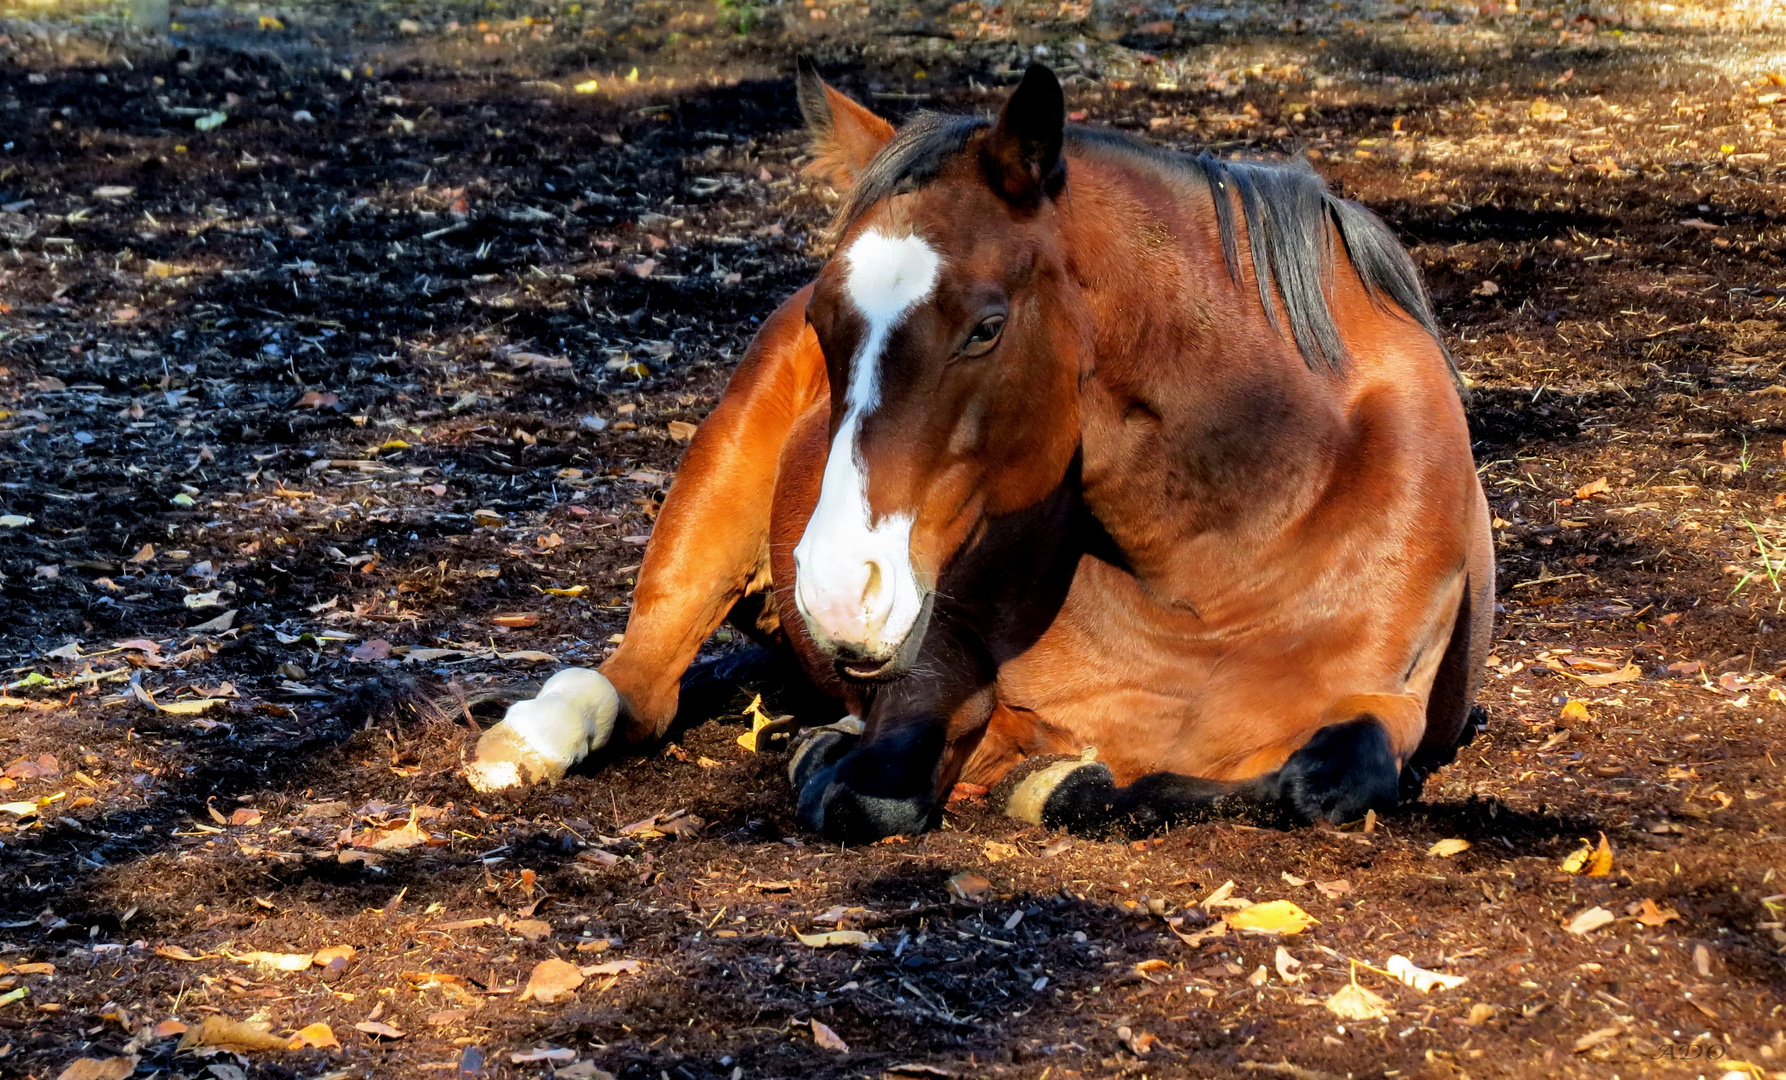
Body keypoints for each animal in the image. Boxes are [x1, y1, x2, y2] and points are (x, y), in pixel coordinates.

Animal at [460, 63, 1493, 846]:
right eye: (824, 325)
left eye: (987, 327)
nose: (837, 592)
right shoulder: (930, 658)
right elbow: (871, 787)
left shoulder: (1389, 705)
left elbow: (1326, 776)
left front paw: (1067, 780)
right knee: (640, 681)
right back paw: (538, 734)